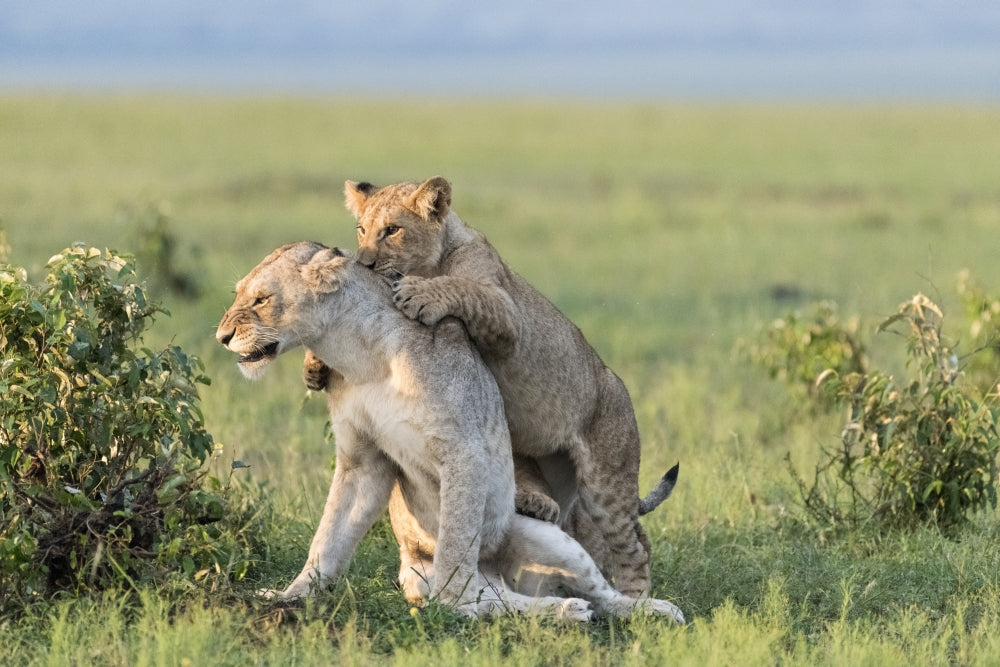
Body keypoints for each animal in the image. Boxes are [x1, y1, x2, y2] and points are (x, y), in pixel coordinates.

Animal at [216, 241, 684, 622]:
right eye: (239, 293)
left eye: (261, 299)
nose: (221, 337)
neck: (360, 355)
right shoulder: (362, 459)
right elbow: (329, 539)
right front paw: (289, 596)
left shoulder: (463, 450)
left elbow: (456, 541)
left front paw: (448, 607)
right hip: (424, 572)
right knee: (503, 602)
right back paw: (563, 611)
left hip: (550, 531)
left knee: (604, 591)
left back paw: (653, 609)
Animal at [302, 177, 676, 597]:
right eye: (361, 229)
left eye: (393, 230)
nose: (364, 263)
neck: (432, 261)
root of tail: (619, 387)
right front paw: (313, 364)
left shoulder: (506, 315)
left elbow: (465, 290)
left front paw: (420, 294)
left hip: (607, 480)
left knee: (635, 542)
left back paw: (636, 598)